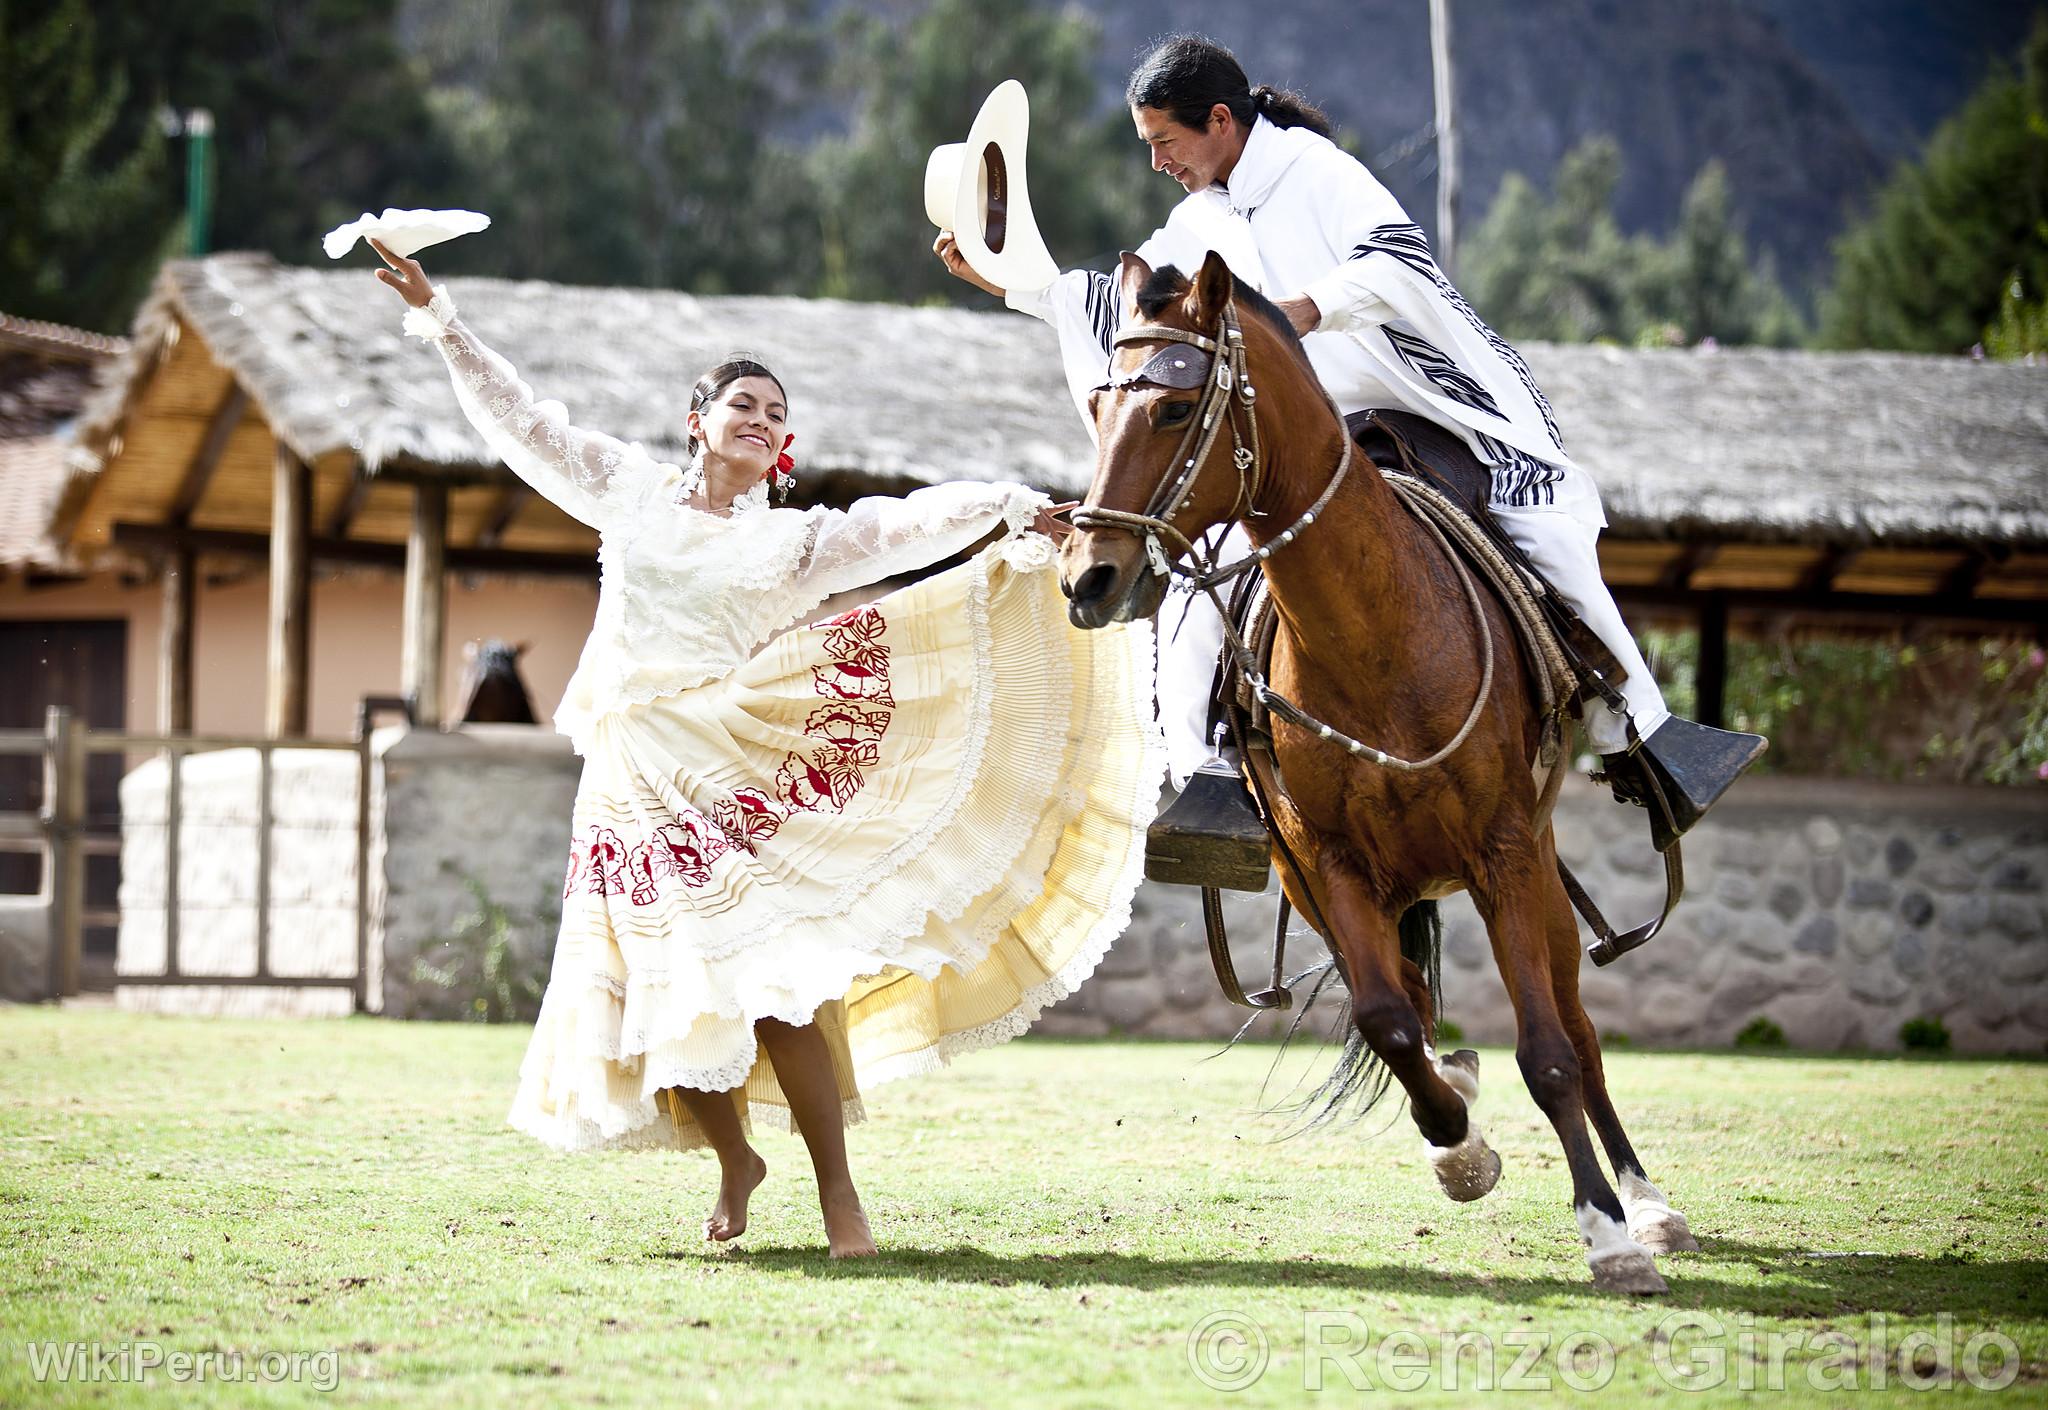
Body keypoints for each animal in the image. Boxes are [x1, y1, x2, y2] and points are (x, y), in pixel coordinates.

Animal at [1056, 251, 1695, 1287]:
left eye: (1173, 409)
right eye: (1099, 403)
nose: (1088, 578)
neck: (1378, 642)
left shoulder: (1507, 853)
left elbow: (1550, 1053)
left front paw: (1607, 1234)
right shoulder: (1329, 865)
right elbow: (1390, 1020)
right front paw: (1459, 1143)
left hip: (1538, 878)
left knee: (1581, 1032)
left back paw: (1647, 1204)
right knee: (1417, 1004)